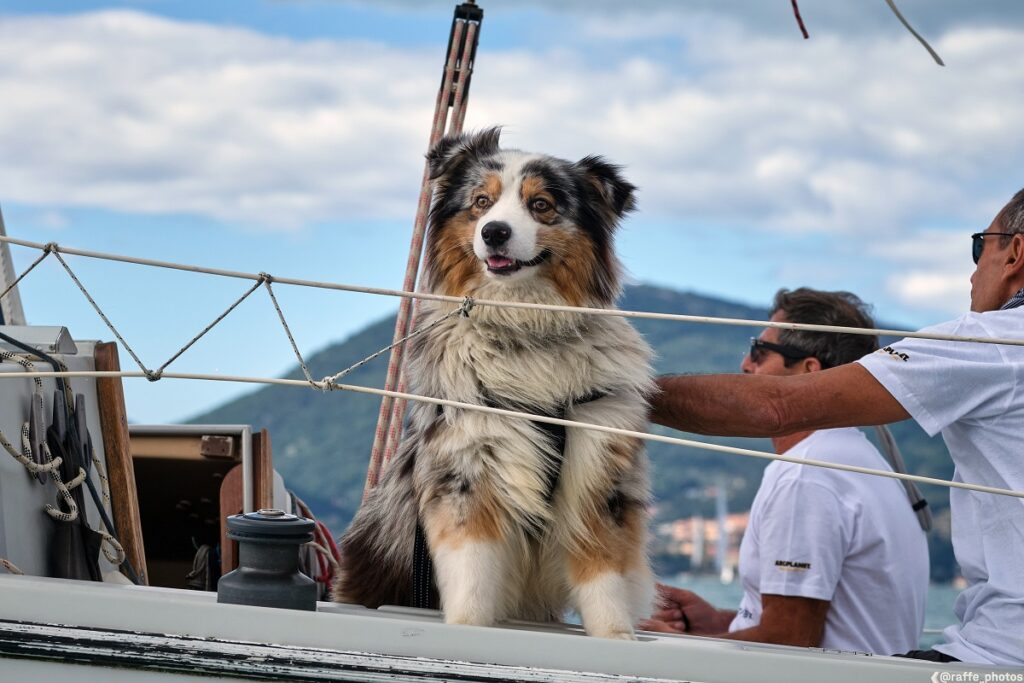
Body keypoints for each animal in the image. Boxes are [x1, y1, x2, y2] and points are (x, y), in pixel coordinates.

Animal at [335, 127, 655, 643]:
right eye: (481, 203)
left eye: (541, 205)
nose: (494, 232)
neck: (524, 330)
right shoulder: (467, 467)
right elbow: (474, 569)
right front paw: (468, 629)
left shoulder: (599, 469)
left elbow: (602, 569)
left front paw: (616, 637)